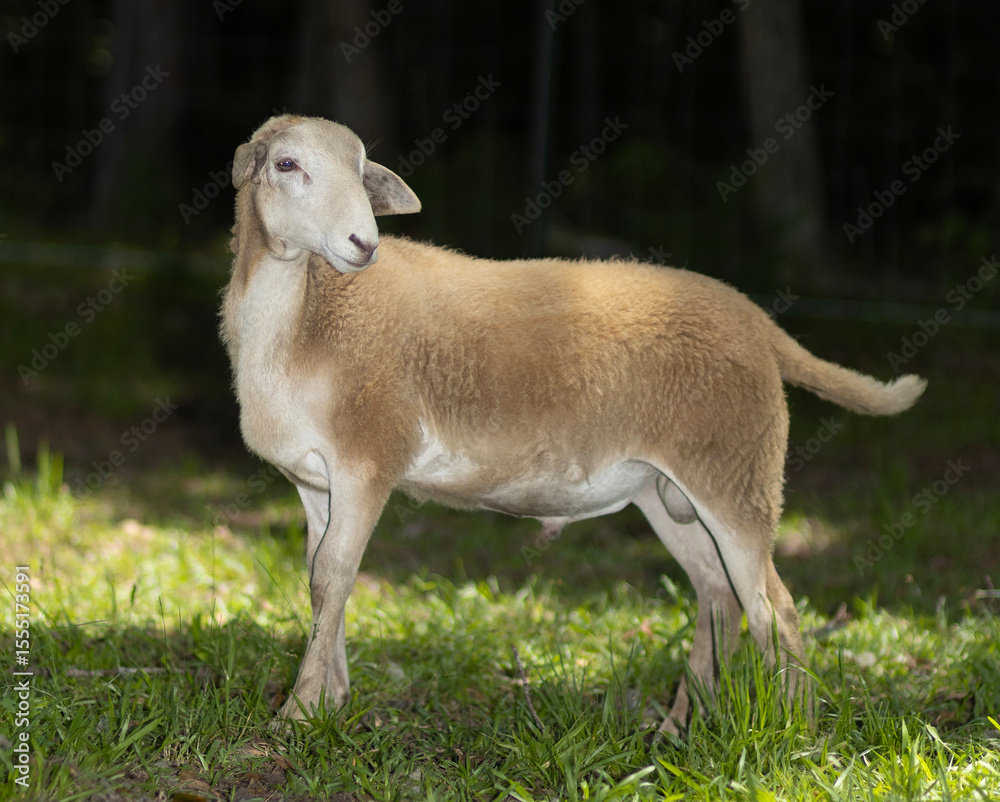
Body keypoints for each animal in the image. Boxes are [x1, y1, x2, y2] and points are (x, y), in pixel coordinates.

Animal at [221, 114, 926, 735]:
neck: (308, 321)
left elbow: (334, 576)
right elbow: (320, 578)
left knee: (774, 608)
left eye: (361, 169)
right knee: (717, 595)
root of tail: (759, 323)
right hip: (670, 493)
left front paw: (299, 715)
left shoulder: (368, 460)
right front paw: (331, 701)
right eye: (287, 165)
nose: (363, 245)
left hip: (737, 474)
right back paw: (680, 728)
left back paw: (796, 734)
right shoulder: (315, 479)